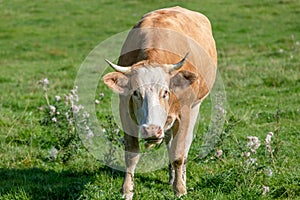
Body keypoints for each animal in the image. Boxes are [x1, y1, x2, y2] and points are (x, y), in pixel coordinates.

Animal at [102, 6, 217, 200]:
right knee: (169, 142)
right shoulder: (125, 110)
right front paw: (127, 190)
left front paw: (180, 189)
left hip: (195, 107)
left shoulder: (184, 113)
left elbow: (179, 154)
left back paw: (180, 178)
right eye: (136, 93)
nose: (151, 130)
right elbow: (131, 154)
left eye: (165, 92)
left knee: (184, 146)